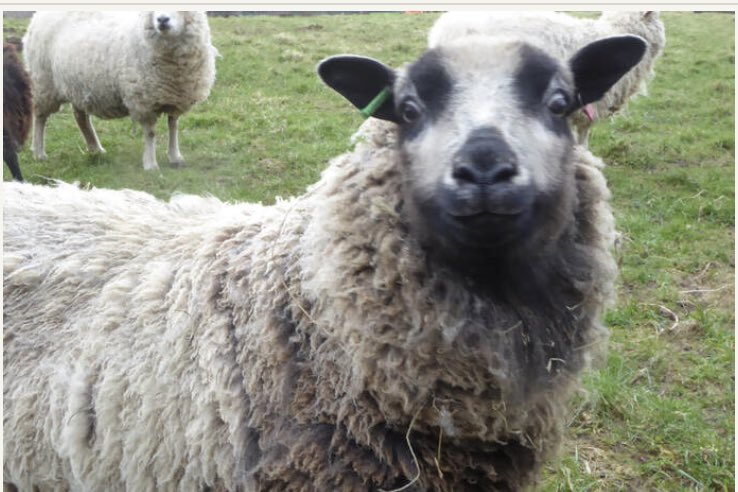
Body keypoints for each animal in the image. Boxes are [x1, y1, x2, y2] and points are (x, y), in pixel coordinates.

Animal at [23, 10, 217, 171]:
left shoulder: (176, 96)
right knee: (40, 118)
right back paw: (39, 152)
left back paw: (95, 148)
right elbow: (150, 133)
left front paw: (175, 157)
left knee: (80, 117)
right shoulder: (143, 99)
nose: (162, 20)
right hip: (44, 82)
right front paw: (150, 164)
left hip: (77, 85)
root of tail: (36, 14)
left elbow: (173, 126)